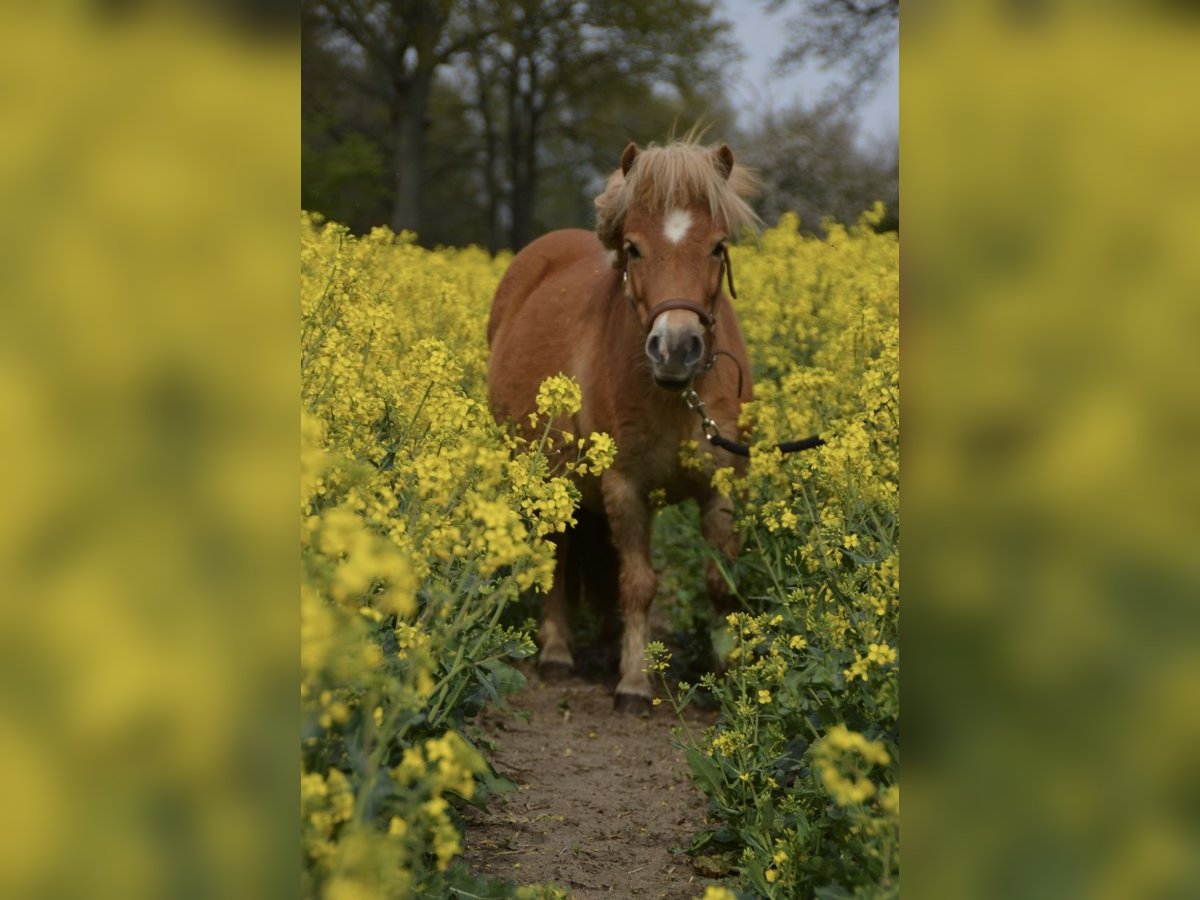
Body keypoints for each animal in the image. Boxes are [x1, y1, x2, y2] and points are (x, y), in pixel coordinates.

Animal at [487, 137, 758, 710]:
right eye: (633, 248)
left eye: (718, 247)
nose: (675, 349)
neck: (679, 398)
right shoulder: (625, 486)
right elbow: (640, 584)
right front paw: (634, 681)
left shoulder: (722, 485)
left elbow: (718, 581)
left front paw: (727, 680)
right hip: (551, 483)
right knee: (556, 558)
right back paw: (558, 653)